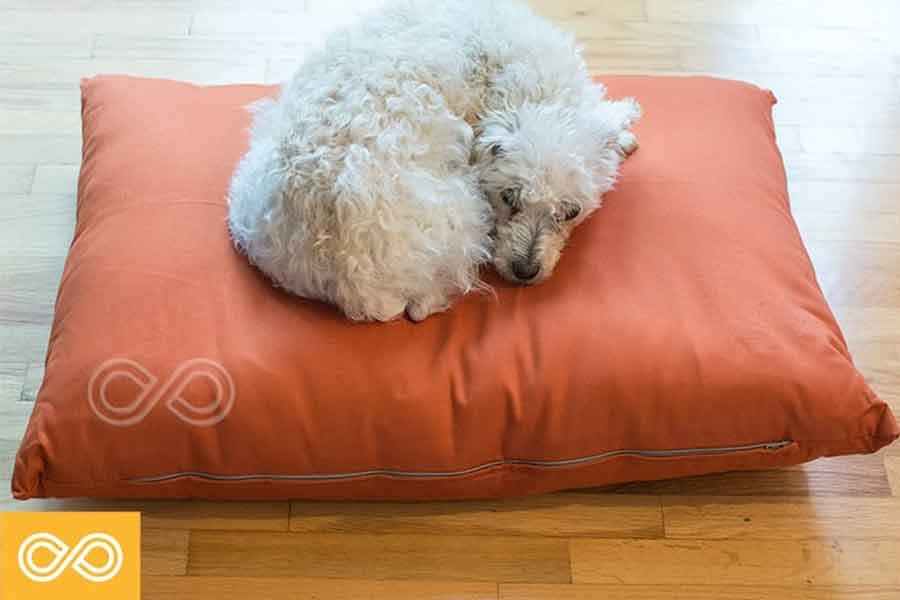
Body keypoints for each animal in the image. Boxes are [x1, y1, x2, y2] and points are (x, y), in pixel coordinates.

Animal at [229, 0, 644, 324]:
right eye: (508, 198)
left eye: (571, 211)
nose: (524, 271)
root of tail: (346, 275)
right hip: (462, 220)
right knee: (422, 304)